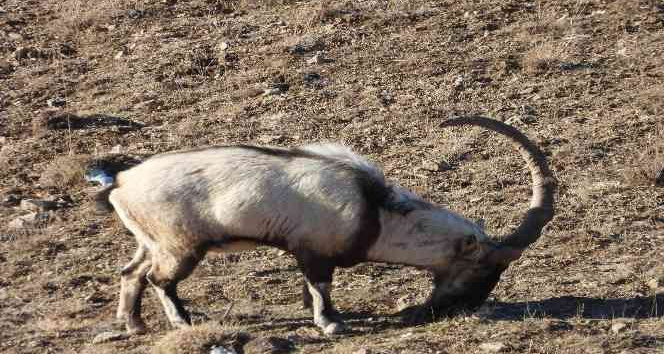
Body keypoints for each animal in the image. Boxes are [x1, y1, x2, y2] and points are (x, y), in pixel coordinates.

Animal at [96, 115, 556, 334]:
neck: (377, 213)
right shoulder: (313, 251)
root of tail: (120, 183)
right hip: (179, 246)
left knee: (131, 272)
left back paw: (133, 324)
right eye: (481, 268)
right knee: (159, 279)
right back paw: (181, 323)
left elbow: (310, 288)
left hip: (150, 241)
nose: (455, 308)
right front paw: (330, 322)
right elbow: (321, 285)